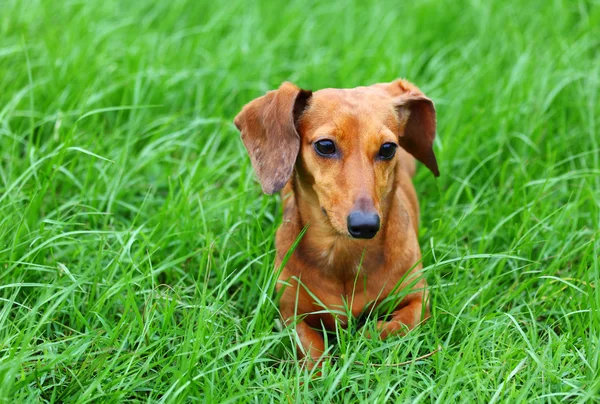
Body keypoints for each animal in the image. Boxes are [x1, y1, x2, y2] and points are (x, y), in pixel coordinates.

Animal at [236, 79, 440, 370]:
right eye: (325, 145)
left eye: (388, 148)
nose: (365, 225)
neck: (344, 253)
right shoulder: (291, 313)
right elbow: (311, 351)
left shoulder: (419, 299)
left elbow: (392, 326)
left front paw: (361, 340)